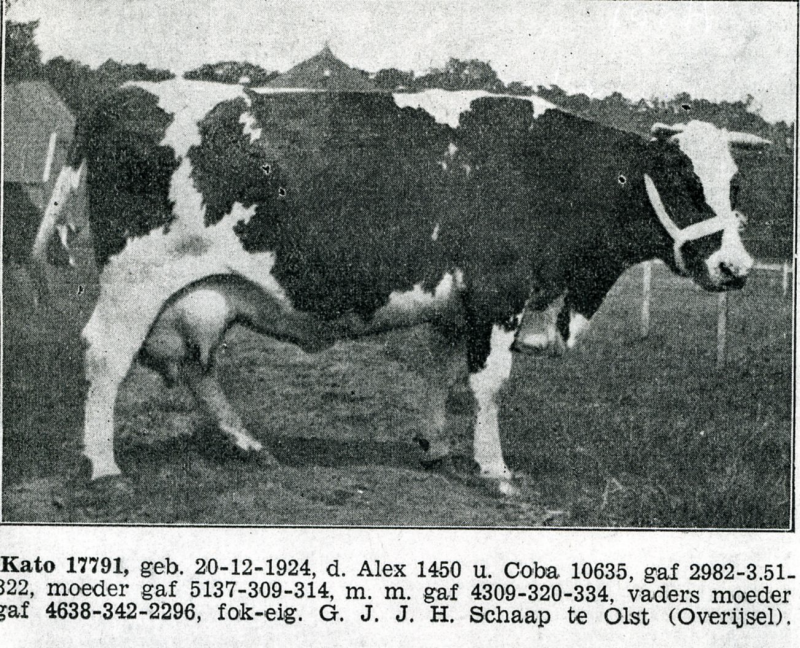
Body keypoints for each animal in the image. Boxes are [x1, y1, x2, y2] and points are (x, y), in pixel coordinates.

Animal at [37, 83, 768, 494]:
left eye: (735, 184)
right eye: (683, 180)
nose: (736, 267)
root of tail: (117, 95)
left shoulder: (458, 303)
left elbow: (442, 372)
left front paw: (436, 447)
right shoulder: (499, 290)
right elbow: (490, 383)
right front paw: (495, 470)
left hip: (197, 294)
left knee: (194, 365)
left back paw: (248, 444)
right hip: (136, 279)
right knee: (107, 356)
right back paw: (104, 469)